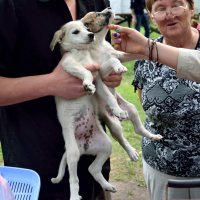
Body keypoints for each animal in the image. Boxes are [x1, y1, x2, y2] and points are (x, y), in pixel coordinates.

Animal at [50, 8, 162, 200]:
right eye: (95, 15)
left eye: (87, 26)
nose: (109, 9)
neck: (99, 45)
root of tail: (84, 146)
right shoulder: (96, 70)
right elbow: (103, 65)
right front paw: (108, 73)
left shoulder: (118, 57)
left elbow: (128, 56)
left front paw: (151, 44)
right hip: (81, 148)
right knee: (76, 176)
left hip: (119, 126)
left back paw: (147, 137)